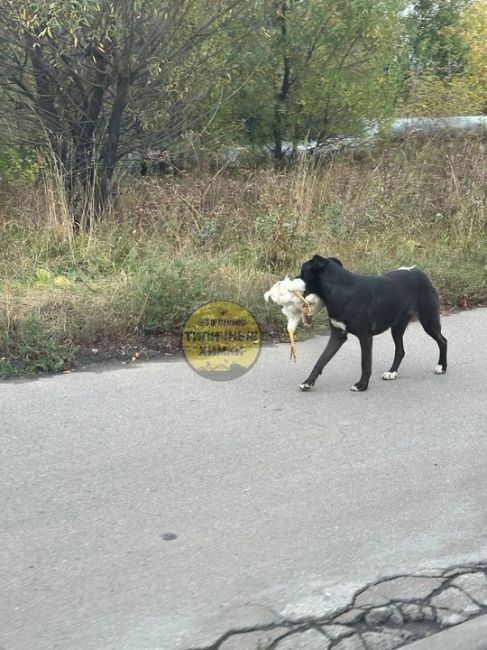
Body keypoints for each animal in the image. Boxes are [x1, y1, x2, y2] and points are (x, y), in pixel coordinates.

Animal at [296, 256, 448, 390]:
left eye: (303, 271)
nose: (293, 280)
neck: (340, 290)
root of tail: (418, 272)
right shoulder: (337, 335)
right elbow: (321, 360)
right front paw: (308, 382)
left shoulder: (365, 337)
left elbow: (366, 363)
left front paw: (362, 385)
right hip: (397, 327)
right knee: (400, 351)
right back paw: (392, 372)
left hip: (429, 321)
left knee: (443, 341)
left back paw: (442, 366)